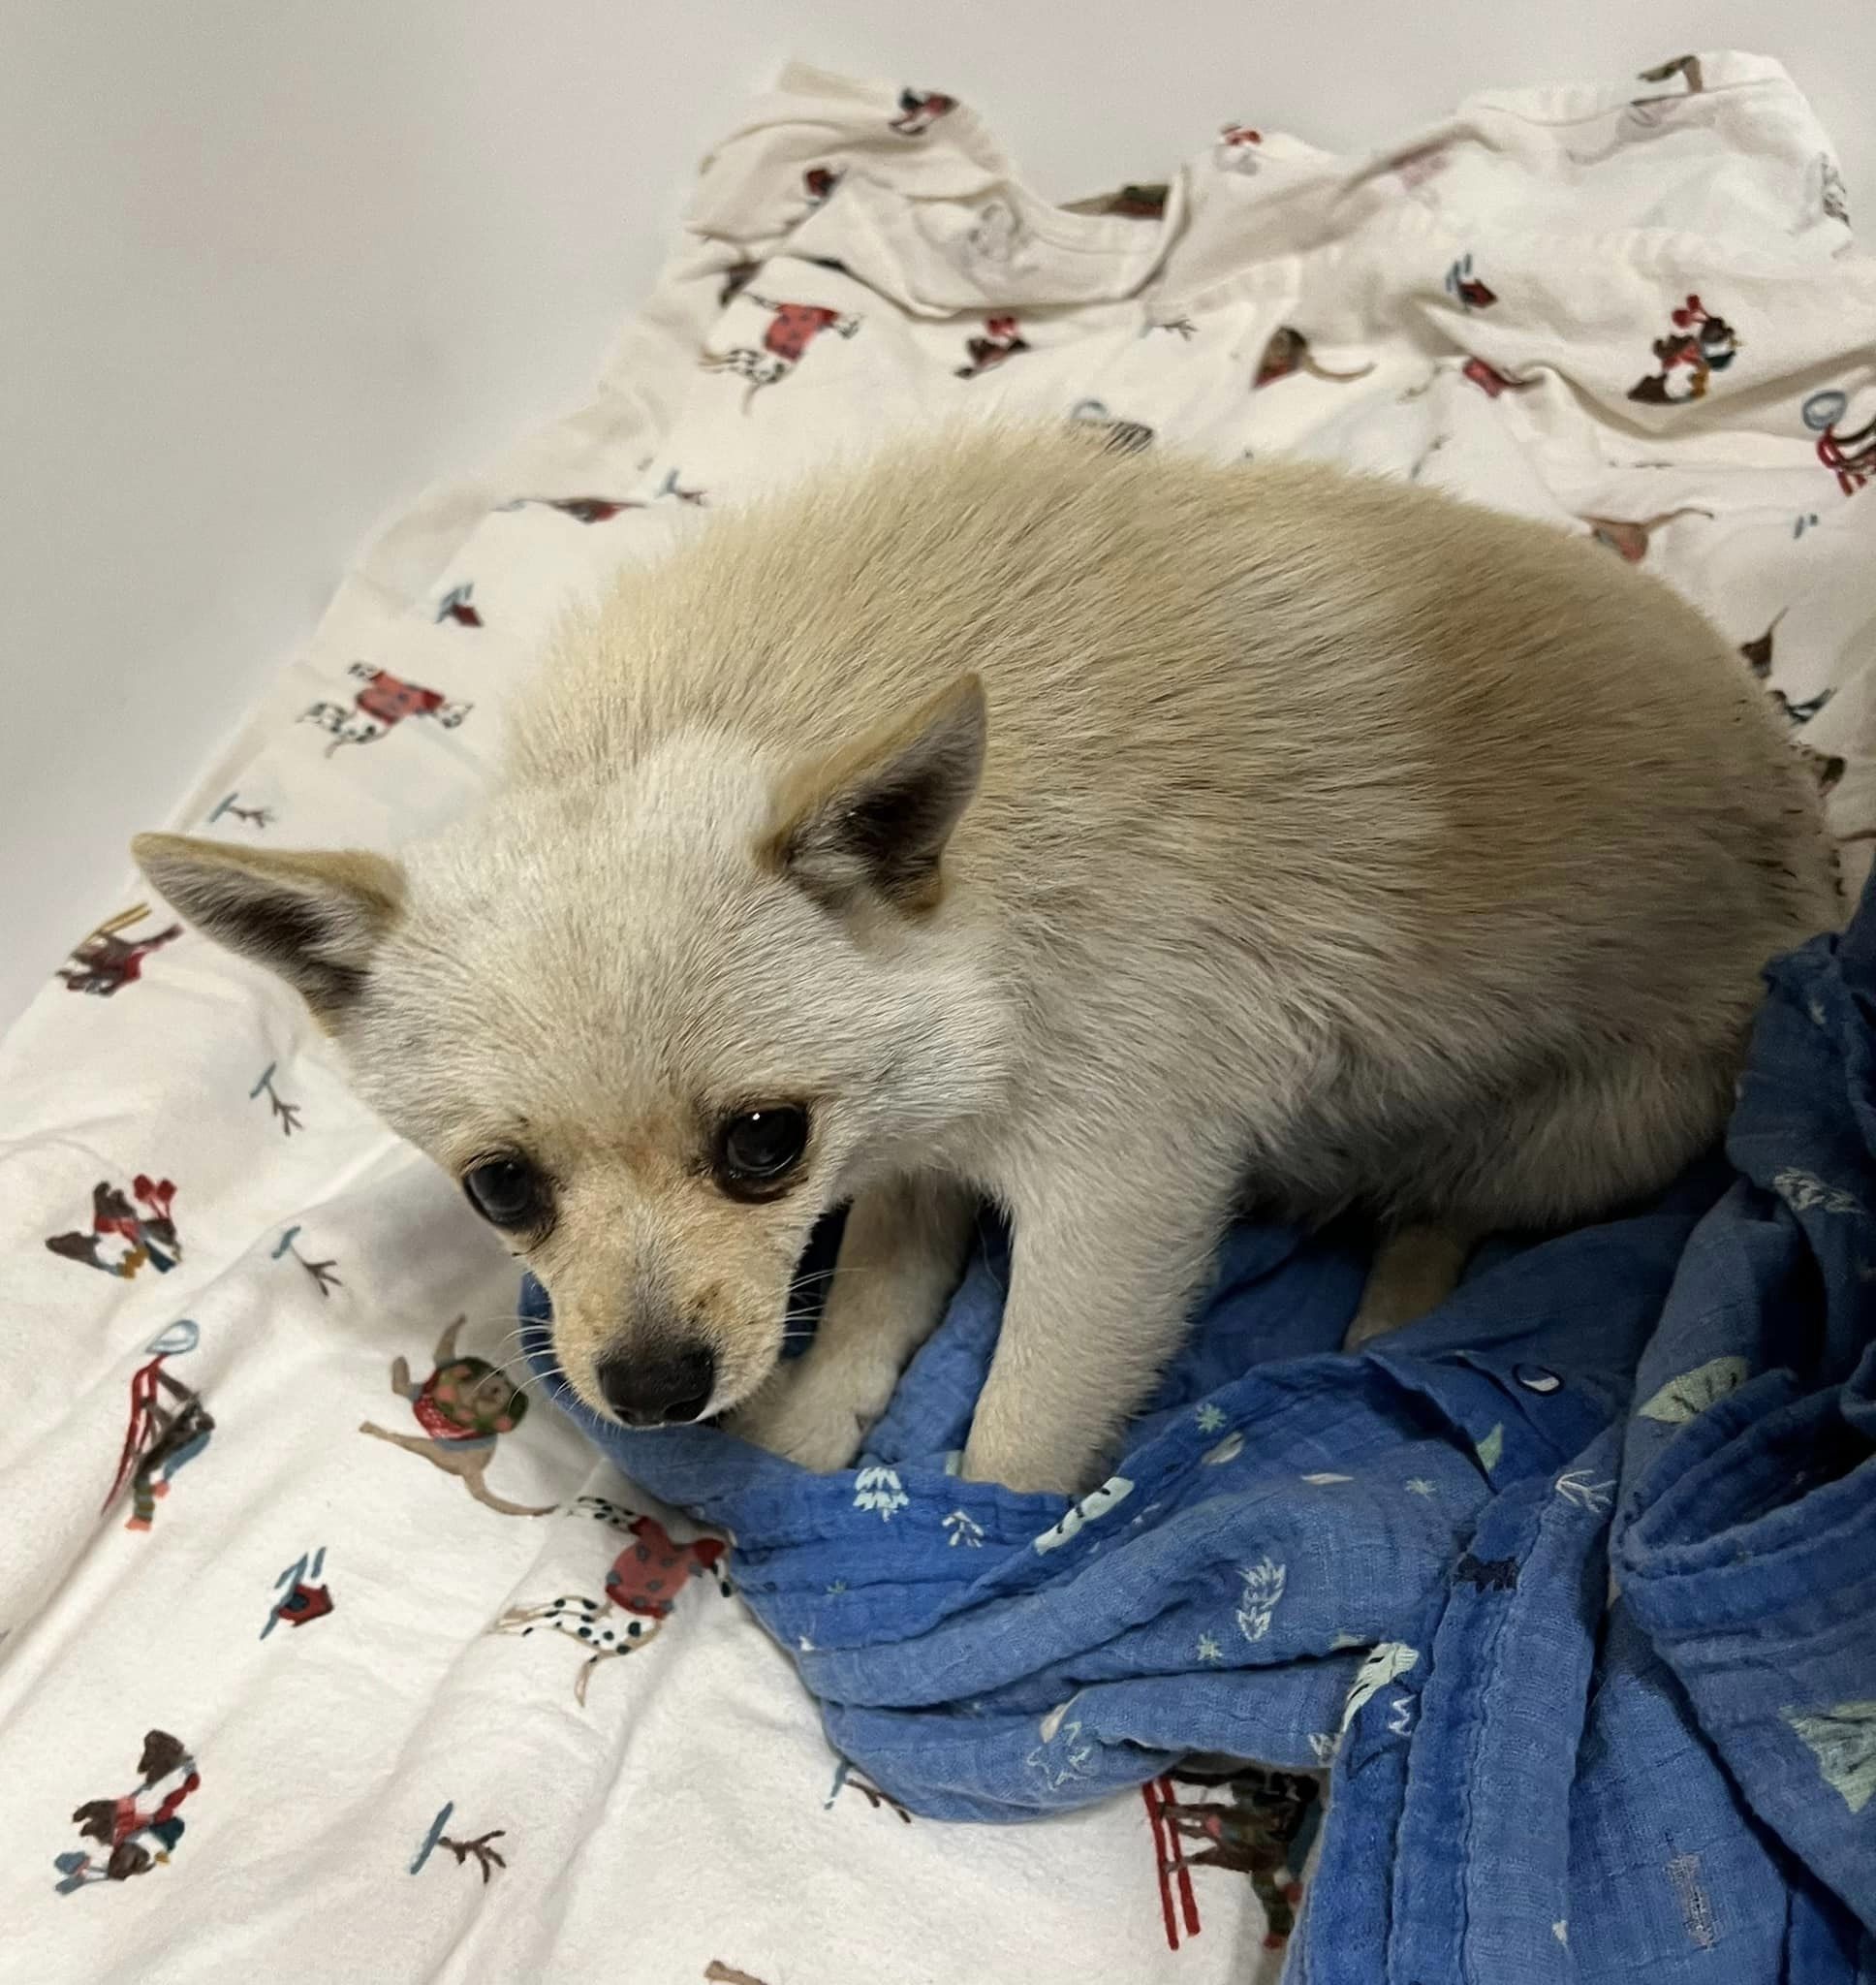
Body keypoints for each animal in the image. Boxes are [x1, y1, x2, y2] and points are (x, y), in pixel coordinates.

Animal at [139, 426, 1833, 1493]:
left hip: (1585, 1135)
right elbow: (870, 1307)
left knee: (1445, 1203)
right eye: (500, 1190)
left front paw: (975, 1554)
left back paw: (1394, 1320)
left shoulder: (1117, 1203)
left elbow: (1021, 1431)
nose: (651, 1393)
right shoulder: (913, 1147)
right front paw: (806, 1448)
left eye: (762, 1145)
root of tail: (1817, 842)